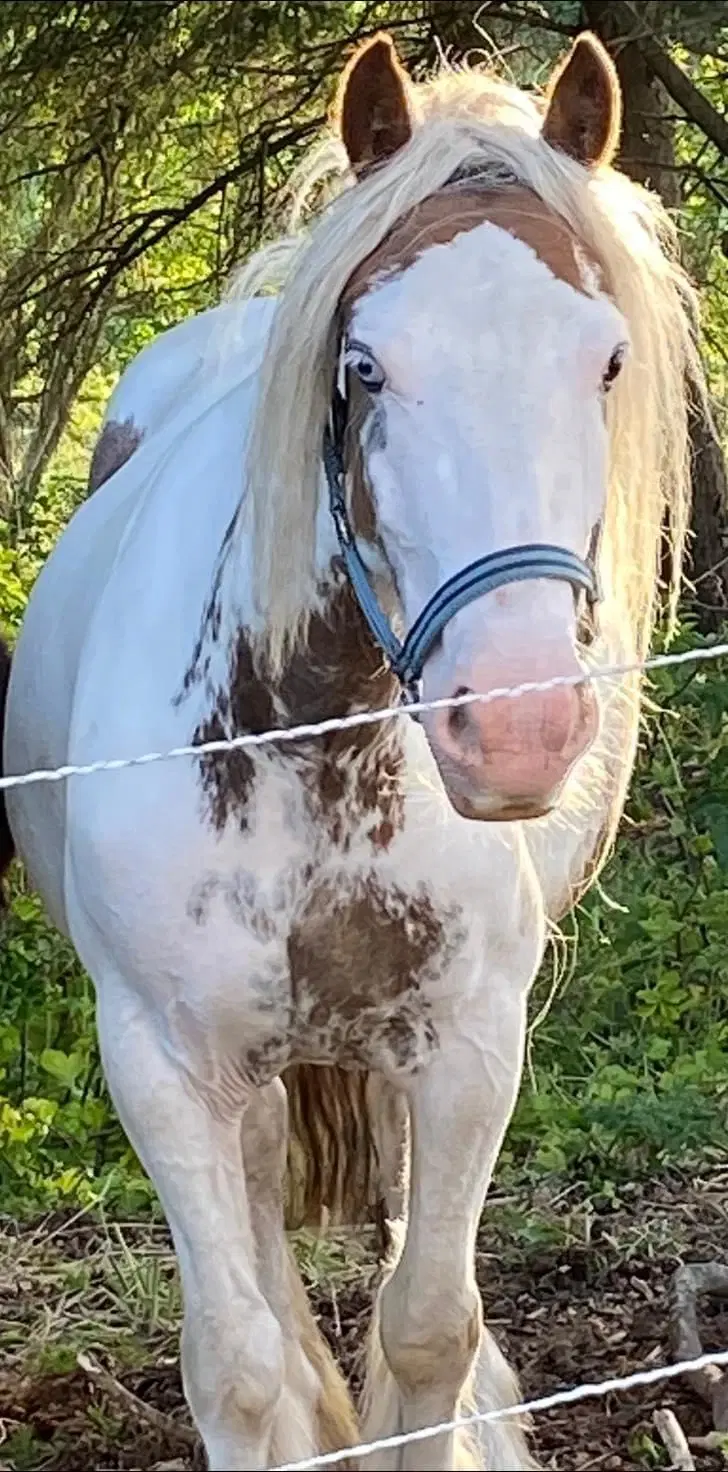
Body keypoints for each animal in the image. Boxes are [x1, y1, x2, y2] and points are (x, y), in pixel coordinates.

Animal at [2, 25, 702, 1472]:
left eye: (606, 360)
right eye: (366, 363)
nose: (517, 719)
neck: (317, 757)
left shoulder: (471, 1046)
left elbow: (427, 1328)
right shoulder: (161, 1066)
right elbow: (236, 1368)